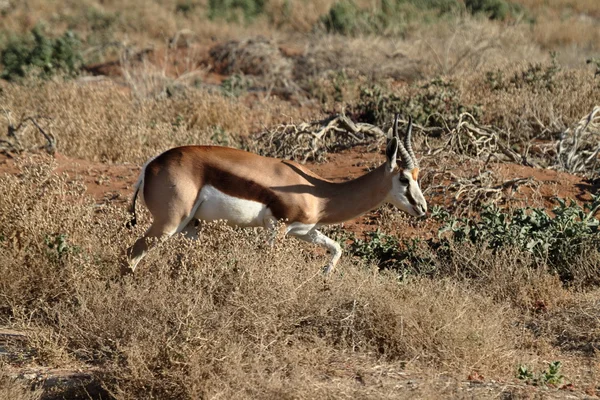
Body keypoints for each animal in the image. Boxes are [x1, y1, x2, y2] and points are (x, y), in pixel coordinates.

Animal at [125, 114, 426, 274]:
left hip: (191, 227)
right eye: (403, 178)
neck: (321, 193)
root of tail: (151, 165)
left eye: (418, 175)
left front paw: (325, 275)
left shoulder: (304, 231)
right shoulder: (278, 228)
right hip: (169, 223)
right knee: (132, 251)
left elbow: (336, 247)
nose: (422, 209)